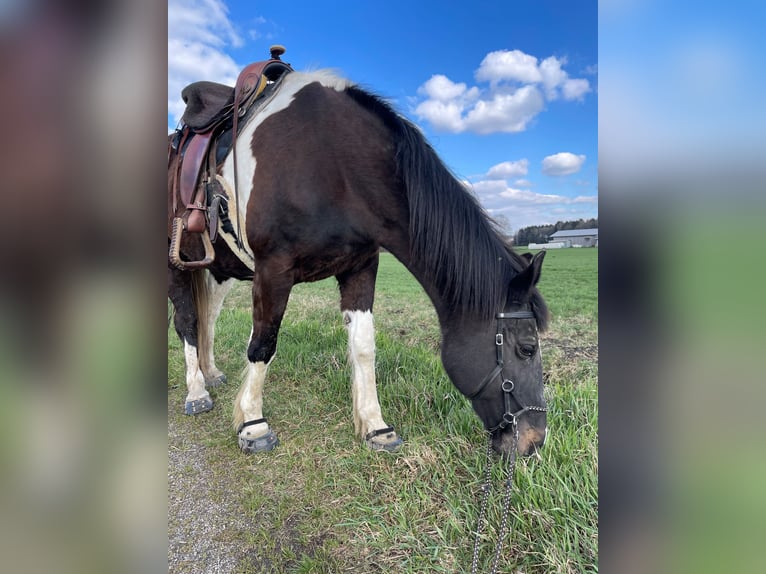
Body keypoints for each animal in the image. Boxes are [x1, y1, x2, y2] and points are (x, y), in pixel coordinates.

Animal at [169, 71, 552, 460]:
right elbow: (262, 344)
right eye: (527, 349)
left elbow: (364, 347)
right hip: (178, 267)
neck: (333, 162)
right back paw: (197, 390)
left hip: (221, 271)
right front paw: (252, 423)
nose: (535, 440)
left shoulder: (361, 268)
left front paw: (375, 426)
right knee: (188, 322)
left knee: (208, 318)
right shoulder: (273, 270)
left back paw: (211, 372)